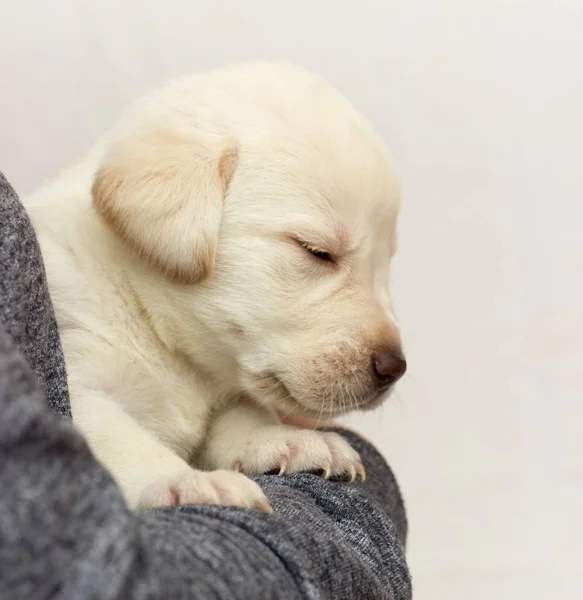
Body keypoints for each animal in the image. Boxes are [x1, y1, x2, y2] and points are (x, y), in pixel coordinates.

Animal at [24, 62, 406, 510]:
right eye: (316, 250)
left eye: (386, 261)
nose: (394, 369)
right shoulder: (74, 374)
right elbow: (114, 438)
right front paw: (184, 481)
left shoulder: (226, 394)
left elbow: (244, 414)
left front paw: (286, 439)